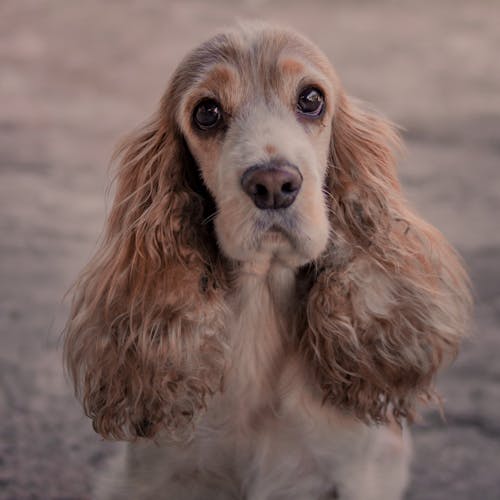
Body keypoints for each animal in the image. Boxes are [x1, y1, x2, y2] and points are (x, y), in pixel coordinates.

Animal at [64, 23, 470, 500]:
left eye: (311, 99)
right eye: (206, 112)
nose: (274, 184)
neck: (263, 301)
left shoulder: (354, 473)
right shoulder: (155, 475)